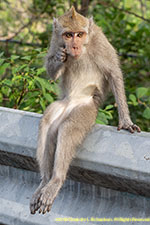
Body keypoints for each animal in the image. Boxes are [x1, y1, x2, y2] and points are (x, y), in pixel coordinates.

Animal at [30, 6, 141, 214]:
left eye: (80, 35)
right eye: (68, 35)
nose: (73, 47)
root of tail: (71, 103)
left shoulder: (99, 41)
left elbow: (114, 73)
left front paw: (125, 121)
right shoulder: (55, 40)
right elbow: (51, 71)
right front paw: (59, 58)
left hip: (87, 110)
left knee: (68, 128)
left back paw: (55, 180)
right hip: (62, 105)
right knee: (47, 123)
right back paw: (45, 180)